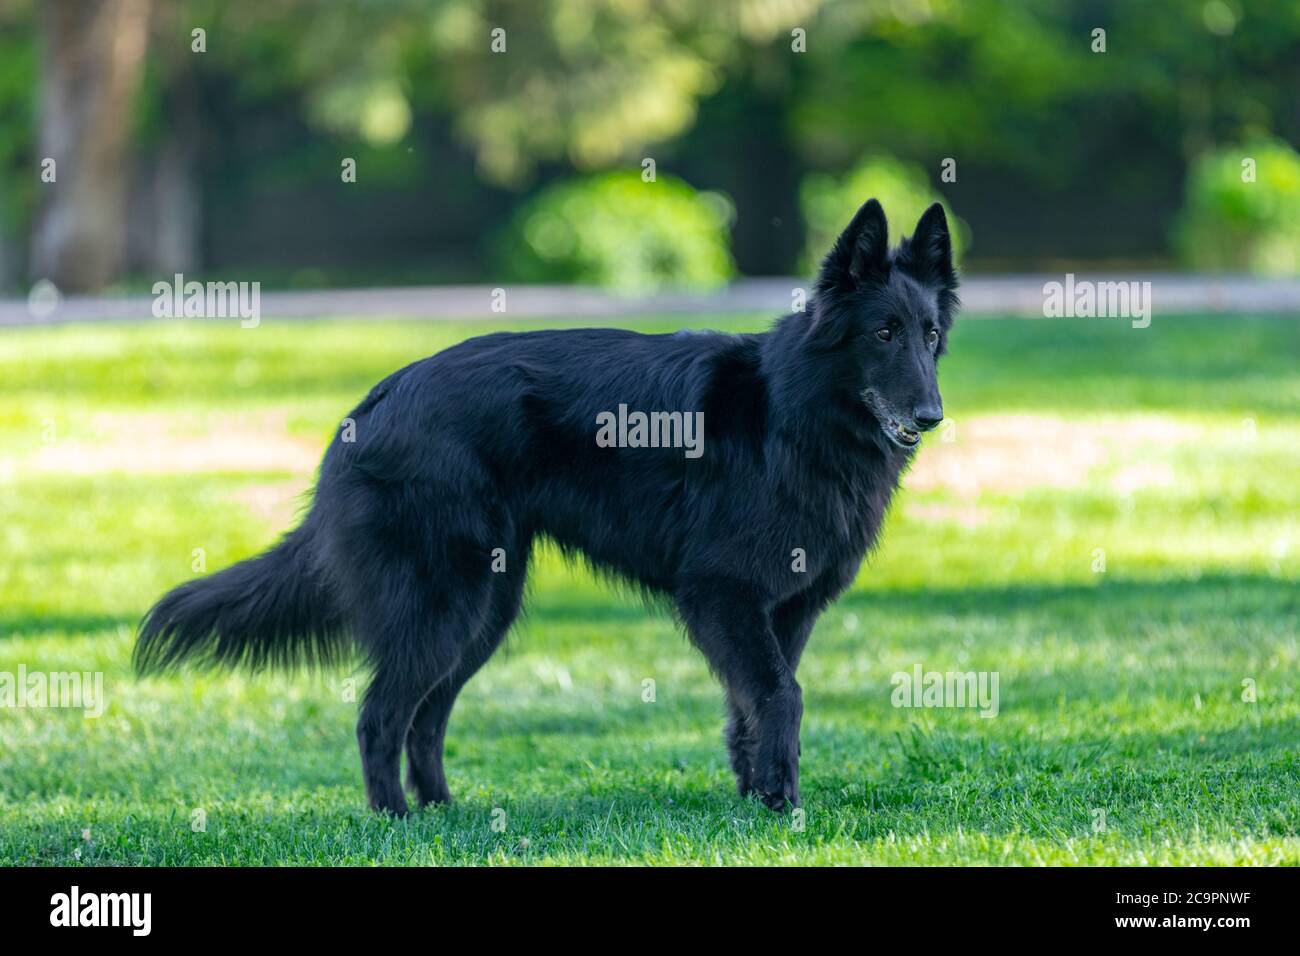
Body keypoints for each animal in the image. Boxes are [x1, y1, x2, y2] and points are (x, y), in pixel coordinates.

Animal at [137, 200, 956, 816]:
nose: (931, 416)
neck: (795, 412)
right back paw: (394, 819)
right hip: (447, 606)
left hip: (484, 613)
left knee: (425, 716)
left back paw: (443, 811)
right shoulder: (724, 595)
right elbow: (781, 695)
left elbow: (749, 707)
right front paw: (781, 804)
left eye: (930, 335)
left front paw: (755, 794)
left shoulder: (784, 612)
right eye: (882, 332)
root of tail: (376, 401)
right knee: (379, 715)